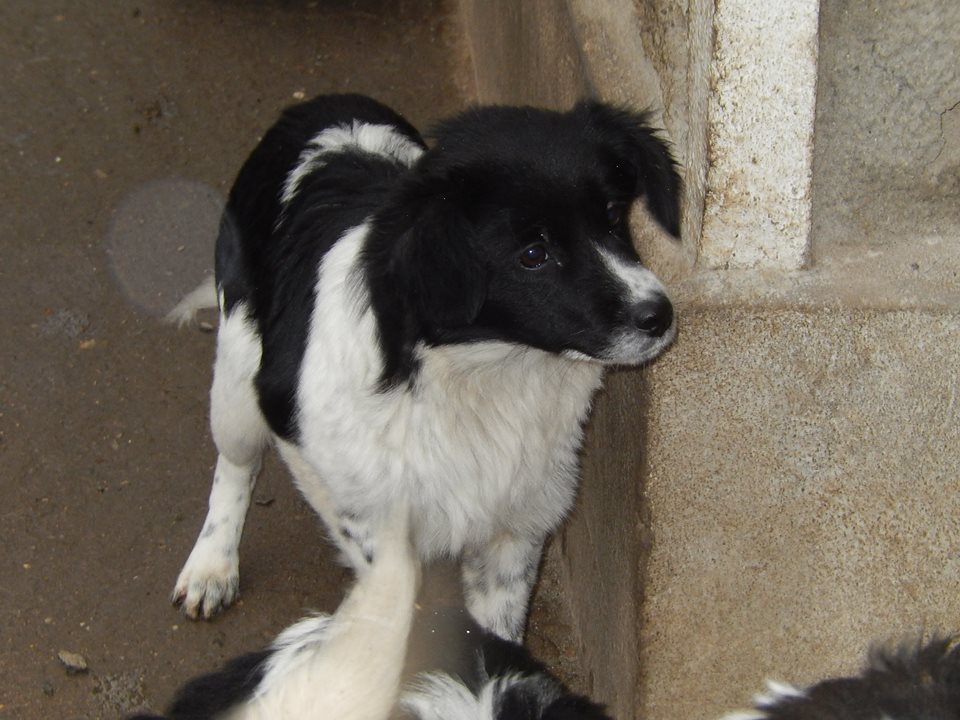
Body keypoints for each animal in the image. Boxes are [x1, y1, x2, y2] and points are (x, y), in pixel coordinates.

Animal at [169, 93, 681, 640]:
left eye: (612, 216)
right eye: (533, 253)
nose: (659, 315)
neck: (486, 374)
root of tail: (324, 102)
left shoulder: (518, 520)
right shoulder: (316, 456)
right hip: (237, 383)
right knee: (235, 465)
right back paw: (211, 566)